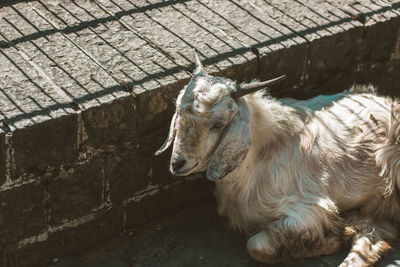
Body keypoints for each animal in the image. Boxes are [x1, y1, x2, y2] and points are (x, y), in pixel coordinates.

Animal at [155, 51, 400, 266]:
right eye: (179, 114)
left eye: (218, 124)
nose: (177, 163)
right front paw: (338, 235)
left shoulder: (308, 209)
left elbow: (256, 246)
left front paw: (331, 239)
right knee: (370, 239)